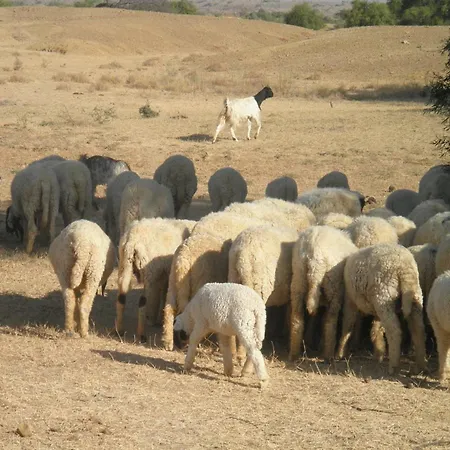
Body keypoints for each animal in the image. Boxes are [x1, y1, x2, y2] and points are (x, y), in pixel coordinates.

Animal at [289, 226, 358, 361]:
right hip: (333, 284)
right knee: (331, 320)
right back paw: (329, 354)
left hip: (299, 276)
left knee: (297, 316)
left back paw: (294, 353)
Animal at [337, 243, 426, 374]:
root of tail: (404, 267)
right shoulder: (375, 308)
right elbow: (376, 329)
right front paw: (378, 353)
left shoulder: (350, 300)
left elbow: (347, 325)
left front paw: (340, 352)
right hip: (414, 296)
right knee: (418, 329)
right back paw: (420, 367)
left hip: (384, 296)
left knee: (394, 330)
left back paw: (393, 366)